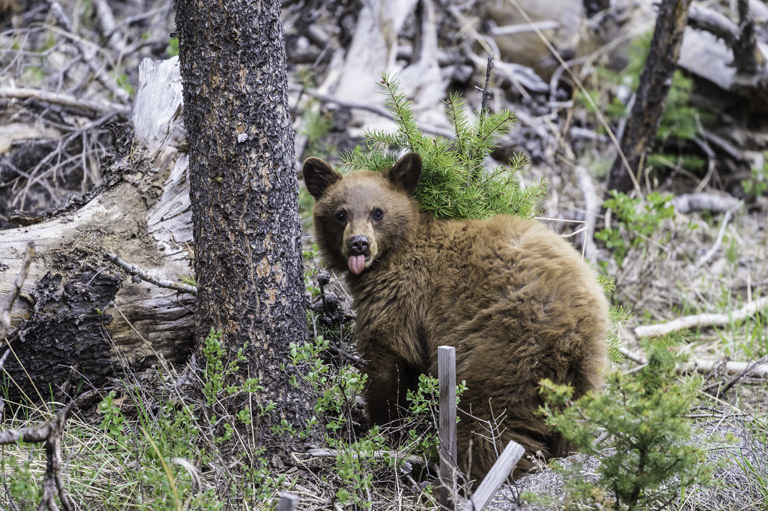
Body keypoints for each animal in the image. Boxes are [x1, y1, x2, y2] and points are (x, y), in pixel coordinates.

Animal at [304, 153, 608, 488]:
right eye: (340, 213)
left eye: (378, 212)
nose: (359, 243)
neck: (399, 250)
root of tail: (572, 330)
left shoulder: (401, 297)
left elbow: (389, 361)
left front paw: (382, 429)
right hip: (584, 376)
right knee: (569, 426)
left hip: (501, 351)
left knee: (485, 424)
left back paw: (463, 480)